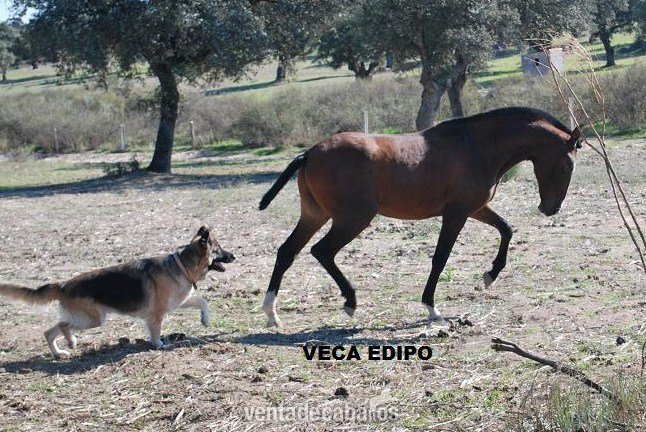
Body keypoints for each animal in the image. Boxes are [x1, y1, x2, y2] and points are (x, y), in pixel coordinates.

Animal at [259, 107, 582, 326]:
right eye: (568, 165)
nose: (550, 209)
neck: (476, 147)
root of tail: (310, 153)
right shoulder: (456, 214)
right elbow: (440, 258)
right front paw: (432, 308)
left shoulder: (475, 208)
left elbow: (507, 229)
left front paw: (490, 275)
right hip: (353, 219)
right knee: (321, 251)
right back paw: (350, 301)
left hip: (315, 215)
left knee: (287, 252)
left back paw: (272, 313)